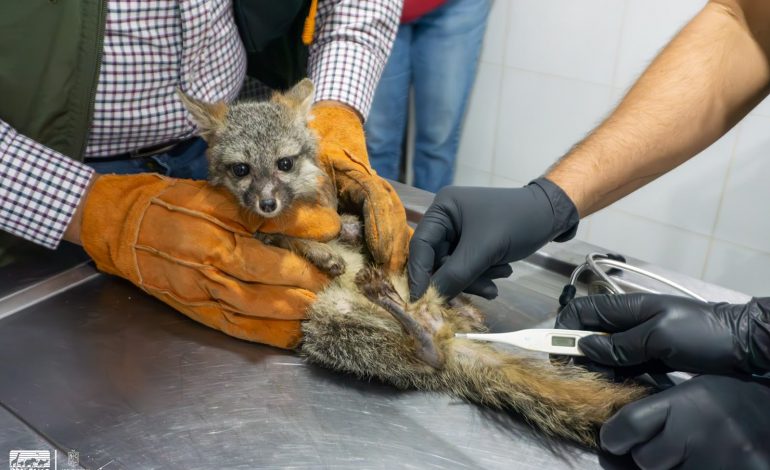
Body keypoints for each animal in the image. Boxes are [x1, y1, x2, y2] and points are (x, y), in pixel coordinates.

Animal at [177, 79, 647, 448]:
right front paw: (313, 246)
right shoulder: (265, 234)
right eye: (241, 170)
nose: (267, 203)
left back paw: (408, 305)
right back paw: (403, 316)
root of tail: (450, 335)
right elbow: (283, 238)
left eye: (284, 164)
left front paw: (345, 232)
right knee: (429, 355)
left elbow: (342, 228)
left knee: (437, 340)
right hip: (326, 323)